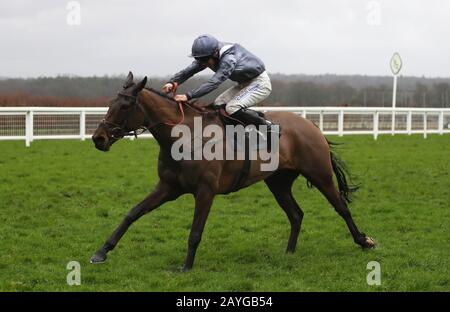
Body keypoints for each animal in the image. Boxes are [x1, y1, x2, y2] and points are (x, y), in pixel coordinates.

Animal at [89, 70, 374, 270]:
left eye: (125, 105)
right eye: (111, 102)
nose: (98, 138)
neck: (183, 137)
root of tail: (311, 125)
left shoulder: (205, 191)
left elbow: (195, 232)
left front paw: (186, 267)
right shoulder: (168, 187)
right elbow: (133, 213)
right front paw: (101, 252)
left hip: (320, 174)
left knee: (341, 207)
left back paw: (364, 241)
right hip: (278, 182)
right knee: (296, 214)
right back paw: (289, 252)